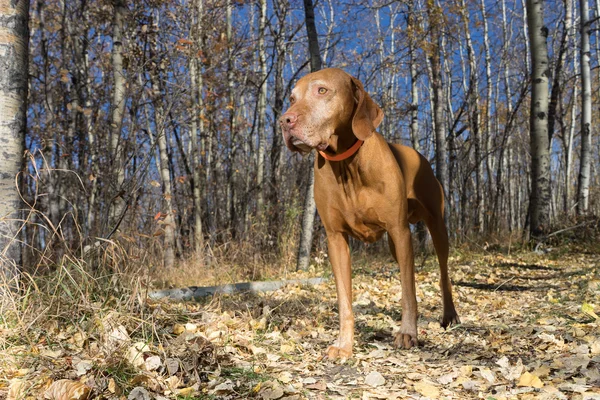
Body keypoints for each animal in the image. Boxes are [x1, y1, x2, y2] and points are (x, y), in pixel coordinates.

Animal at [282, 67, 460, 358]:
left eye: (322, 90)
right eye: (292, 98)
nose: (284, 121)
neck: (347, 165)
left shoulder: (400, 231)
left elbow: (408, 291)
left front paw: (408, 333)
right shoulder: (336, 239)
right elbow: (344, 299)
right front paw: (345, 344)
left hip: (435, 226)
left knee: (443, 271)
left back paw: (450, 315)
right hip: (394, 245)